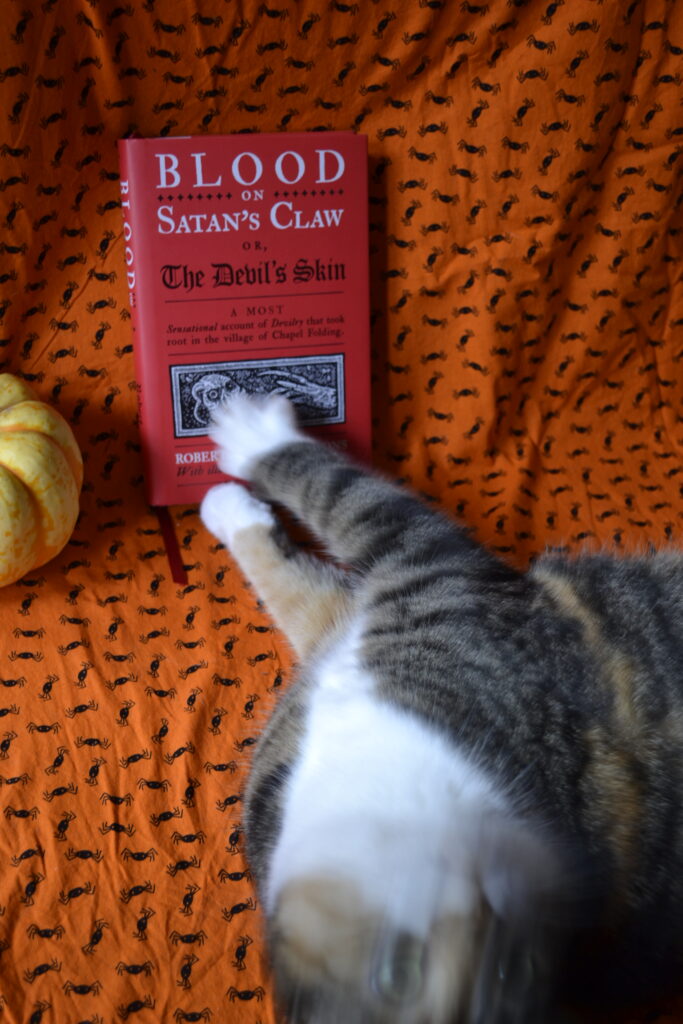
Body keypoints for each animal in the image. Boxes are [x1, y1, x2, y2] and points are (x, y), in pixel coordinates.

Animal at [200, 393, 683, 1024]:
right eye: (397, 972)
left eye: (519, 968)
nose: (498, 903)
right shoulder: (385, 610)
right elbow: (309, 554)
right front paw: (233, 490)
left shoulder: (431, 572)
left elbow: (330, 495)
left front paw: (244, 442)